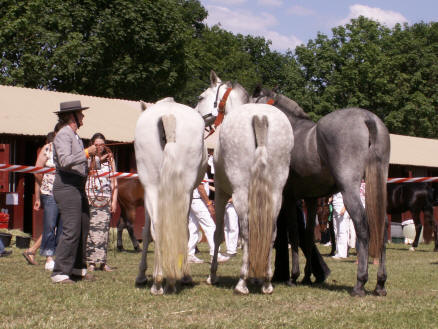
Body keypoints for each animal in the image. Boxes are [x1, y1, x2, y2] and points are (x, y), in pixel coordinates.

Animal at [133, 98, 207, 294]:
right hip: (181, 190)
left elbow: (145, 231)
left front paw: (141, 275)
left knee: (157, 228)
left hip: (152, 186)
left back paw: (159, 281)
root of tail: (168, 114)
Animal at [196, 70, 294, 294]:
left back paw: (242, 282)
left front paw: (212, 275)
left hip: (240, 194)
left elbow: (218, 234)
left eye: (201, 97)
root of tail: (260, 116)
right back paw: (266, 281)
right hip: (276, 194)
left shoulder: (222, 193)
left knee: (248, 231)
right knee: (271, 232)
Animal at [252, 86, 392, 296]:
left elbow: (294, 234)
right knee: (380, 227)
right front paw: (307, 277)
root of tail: (367, 118)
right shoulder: (311, 200)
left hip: (349, 189)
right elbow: (309, 235)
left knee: (362, 226)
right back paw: (380, 284)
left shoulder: (289, 198)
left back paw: (360, 283)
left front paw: (294, 277)